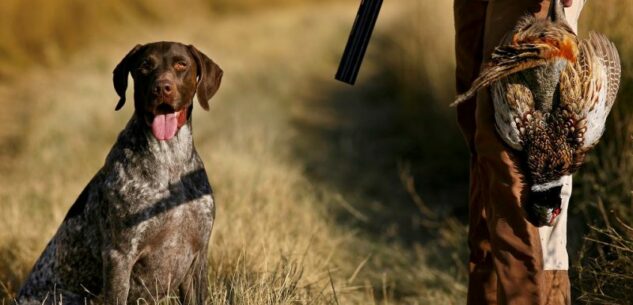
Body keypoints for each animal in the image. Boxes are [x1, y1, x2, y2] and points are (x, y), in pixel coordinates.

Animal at [16, 41, 222, 304]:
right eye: (145, 66)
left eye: (181, 65)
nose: (161, 88)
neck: (170, 161)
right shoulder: (120, 256)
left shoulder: (198, 255)